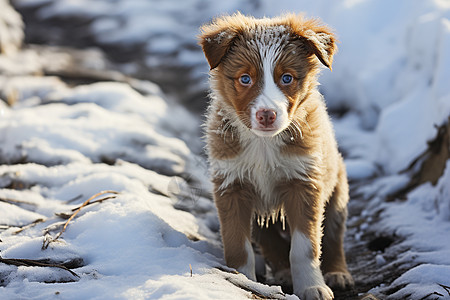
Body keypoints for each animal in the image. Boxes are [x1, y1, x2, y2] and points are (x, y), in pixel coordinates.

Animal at [200, 12, 352, 298]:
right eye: (245, 79)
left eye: (287, 78)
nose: (267, 115)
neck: (264, 144)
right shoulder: (231, 185)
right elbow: (237, 246)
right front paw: (242, 281)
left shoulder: (305, 183)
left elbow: (305, 247)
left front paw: (312, 286)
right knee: (269, 240)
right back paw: (281, 272)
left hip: (337, 189)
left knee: (333, 235)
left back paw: (338, 273)